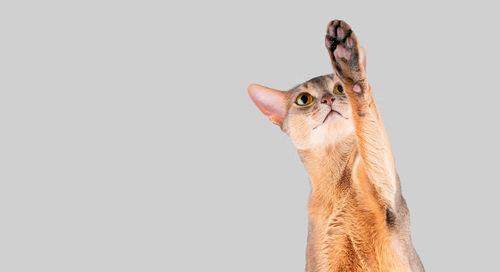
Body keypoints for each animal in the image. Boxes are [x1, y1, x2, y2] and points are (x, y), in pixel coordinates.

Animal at [248, 19, 424, 272]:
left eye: (340, 88)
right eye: (303, 99)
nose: (328, 99)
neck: (337, 184)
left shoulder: (388, 198)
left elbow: (369, 122)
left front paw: (345, 54)